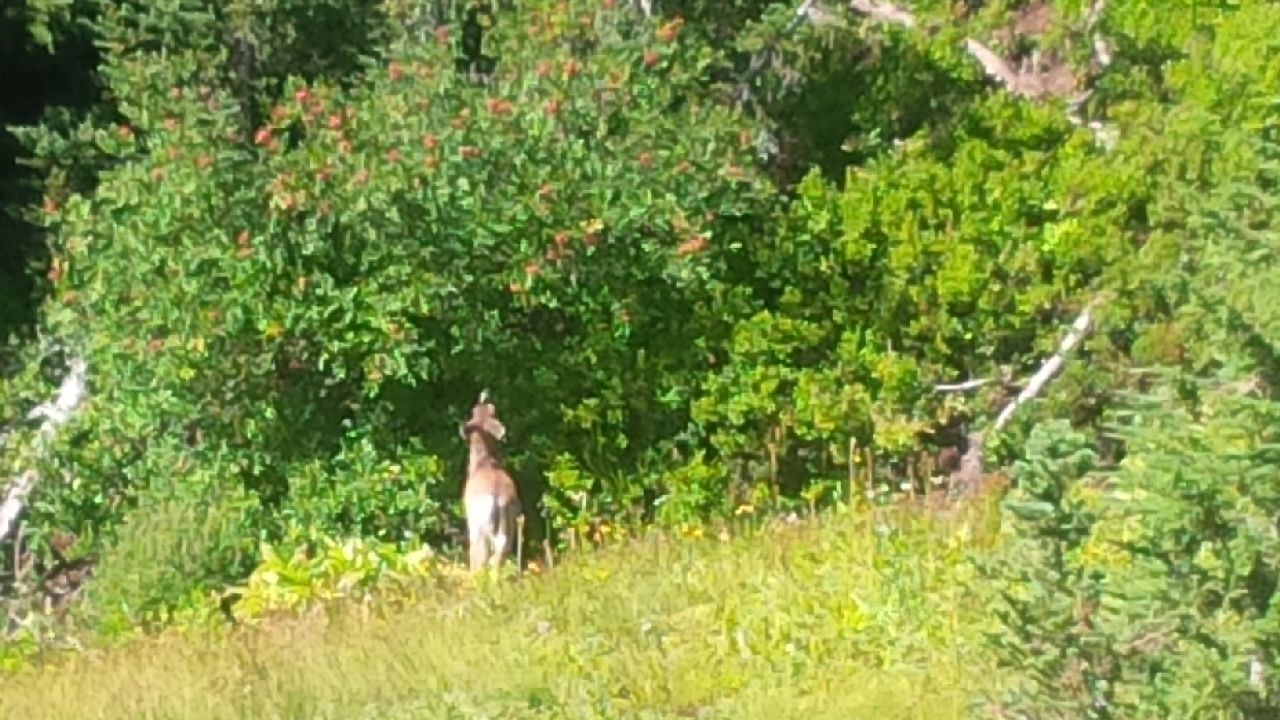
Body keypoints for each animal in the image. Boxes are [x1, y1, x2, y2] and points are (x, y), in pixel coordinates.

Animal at [458, 386, 522, 571]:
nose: (485, 395)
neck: (483, 463)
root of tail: (497, 498)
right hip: (508, 528)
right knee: (499, 555)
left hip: (478, 530)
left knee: (479, 560)